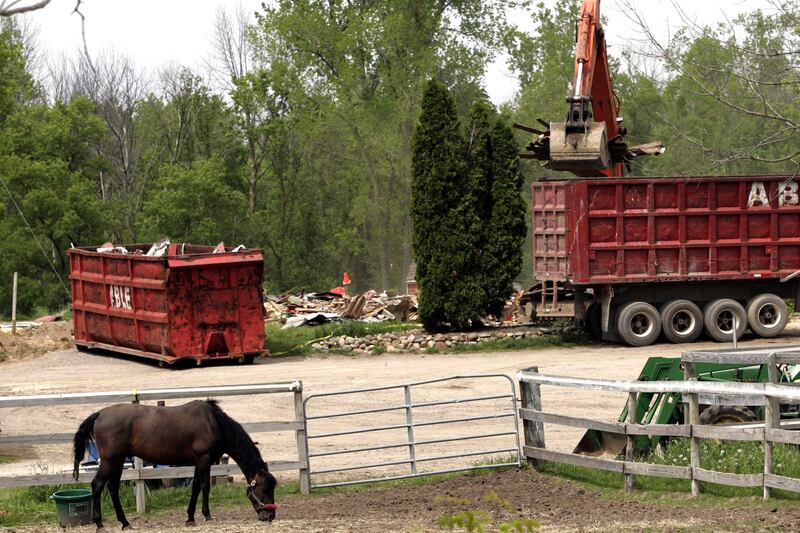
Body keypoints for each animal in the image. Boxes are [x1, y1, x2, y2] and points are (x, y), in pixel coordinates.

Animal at [72, 400, 278, 528]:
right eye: (265, 488)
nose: (270, 516)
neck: (214, 423)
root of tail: (99, 414)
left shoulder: (197, 462)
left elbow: (195, 487)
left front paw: (190, 517)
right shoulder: (204, 460)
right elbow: (205, 486)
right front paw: (207, 515)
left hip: (118, 461)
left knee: (113, 489)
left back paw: (125, 523)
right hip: (110, 460)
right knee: (97, 485)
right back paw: (100, 524)